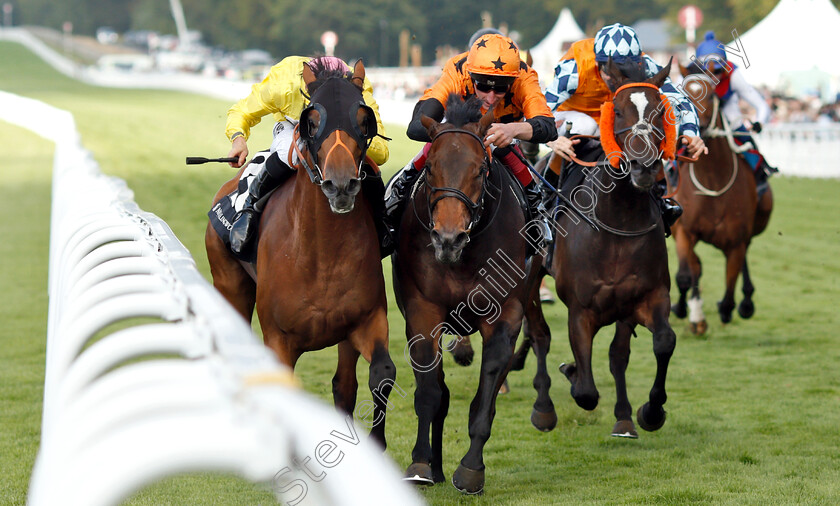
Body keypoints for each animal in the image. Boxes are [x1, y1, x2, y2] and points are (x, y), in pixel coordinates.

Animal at [206, 58, 398, 446]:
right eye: (312, 120)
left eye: (363, 118)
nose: (341, 185)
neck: (322, 255)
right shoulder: (279, 341)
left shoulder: (366, 320)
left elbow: (379, 374)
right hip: (229, 285)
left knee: (346, 385)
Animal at [516, 58, 680, 438]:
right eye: (617, 110)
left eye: (660, 110)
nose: (644, 166)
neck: (618, 223)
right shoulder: (581, 309)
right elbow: (587, 392)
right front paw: (572, 375)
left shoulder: (646, 297)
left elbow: (658, 343)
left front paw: (648, 412)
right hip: (531, 275)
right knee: (539, 334)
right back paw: (543, 407)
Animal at [668, 63, 776, 334]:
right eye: (682, 93)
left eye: (710, 96)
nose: (691, 131)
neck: (713, 182)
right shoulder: (684, 231)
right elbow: (685, 275)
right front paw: (688, 312)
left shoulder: (737, 240)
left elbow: (729, 288)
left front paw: (728, 308)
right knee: (695, 268)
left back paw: (746, 302)